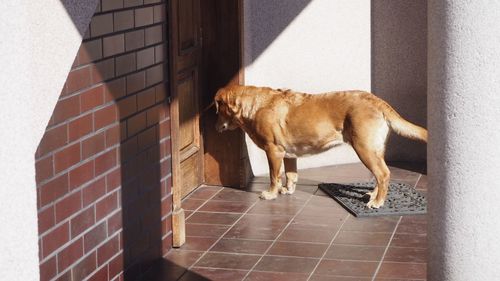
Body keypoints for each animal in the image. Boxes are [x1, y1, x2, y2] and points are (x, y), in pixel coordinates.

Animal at [213, 85, 428, 208]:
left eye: (217, 109)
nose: (214, 125)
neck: (254, 106)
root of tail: (378, 101)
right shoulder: (288, 154)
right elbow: (291, 175)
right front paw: (288, 190)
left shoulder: (273, 150)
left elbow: (275, 176)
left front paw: (271, 193)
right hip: (375, 149)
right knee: (380, 175)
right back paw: (373, 195)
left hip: (364, 148)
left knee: (383, 174)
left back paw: (377, 202)